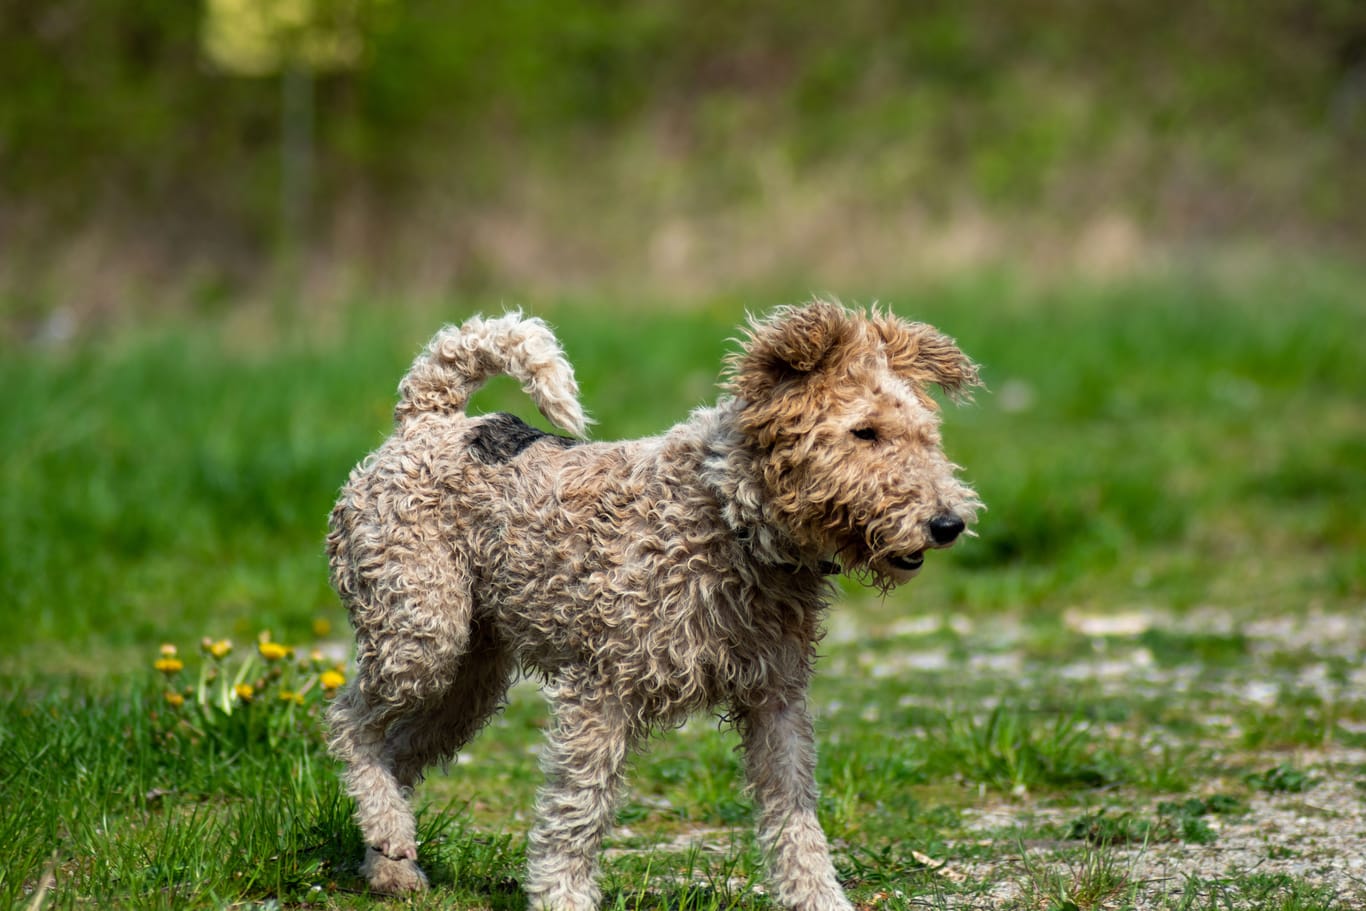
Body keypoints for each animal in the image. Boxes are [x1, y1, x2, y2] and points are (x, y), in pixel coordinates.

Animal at [322, 300, 983, 911]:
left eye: (926, 433)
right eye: (864, 431)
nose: (948, 524)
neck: (727, 514)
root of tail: (429, 420)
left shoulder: (777, 698)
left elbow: (796, 822)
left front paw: (820, 899)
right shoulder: (603, 690)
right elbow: (577, 812)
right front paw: (562, 897)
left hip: (471, 677)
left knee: (397, 753)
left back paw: (393, 866)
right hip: (421, 635)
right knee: (349, 724)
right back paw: (389, 835)